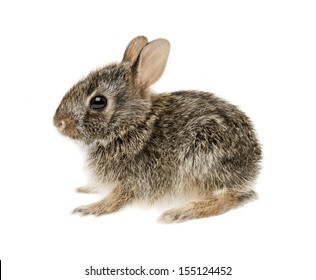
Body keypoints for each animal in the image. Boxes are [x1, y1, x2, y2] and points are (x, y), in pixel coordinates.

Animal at [53, 35, 262, 223]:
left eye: (98, 102)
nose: (58, 122)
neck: (134, 124)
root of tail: (252, 168)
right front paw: (86, 188)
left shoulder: (134, 180)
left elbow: (117, 197)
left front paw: (92, 208)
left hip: (201, 156)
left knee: (227, 199)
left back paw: (179, 212)